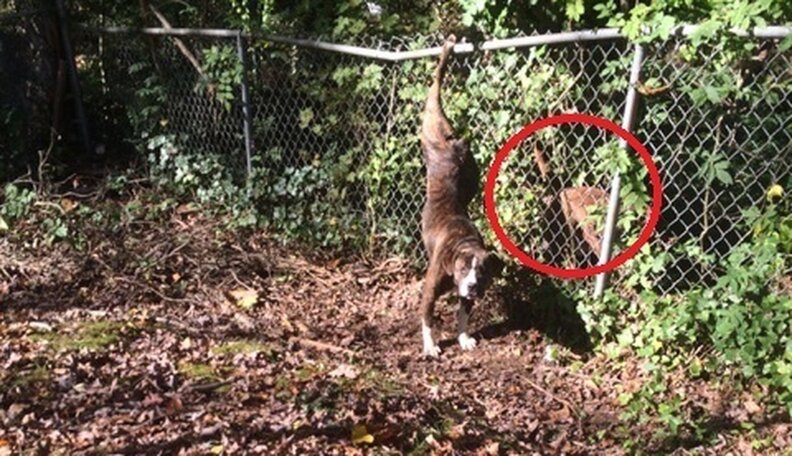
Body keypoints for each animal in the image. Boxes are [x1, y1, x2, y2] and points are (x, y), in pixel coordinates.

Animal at [419, 35, 501, 357]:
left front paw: (464, 338)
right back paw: (446, 49)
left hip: (472, 173)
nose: (473, 285)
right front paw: (430, 345)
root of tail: (450, 144)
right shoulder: (430, 290)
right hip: (430, 121)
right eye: (465, 268)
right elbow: (428, 318)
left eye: (483, 272)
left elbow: (464, 314)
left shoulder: (467, 297)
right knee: (434, 85)